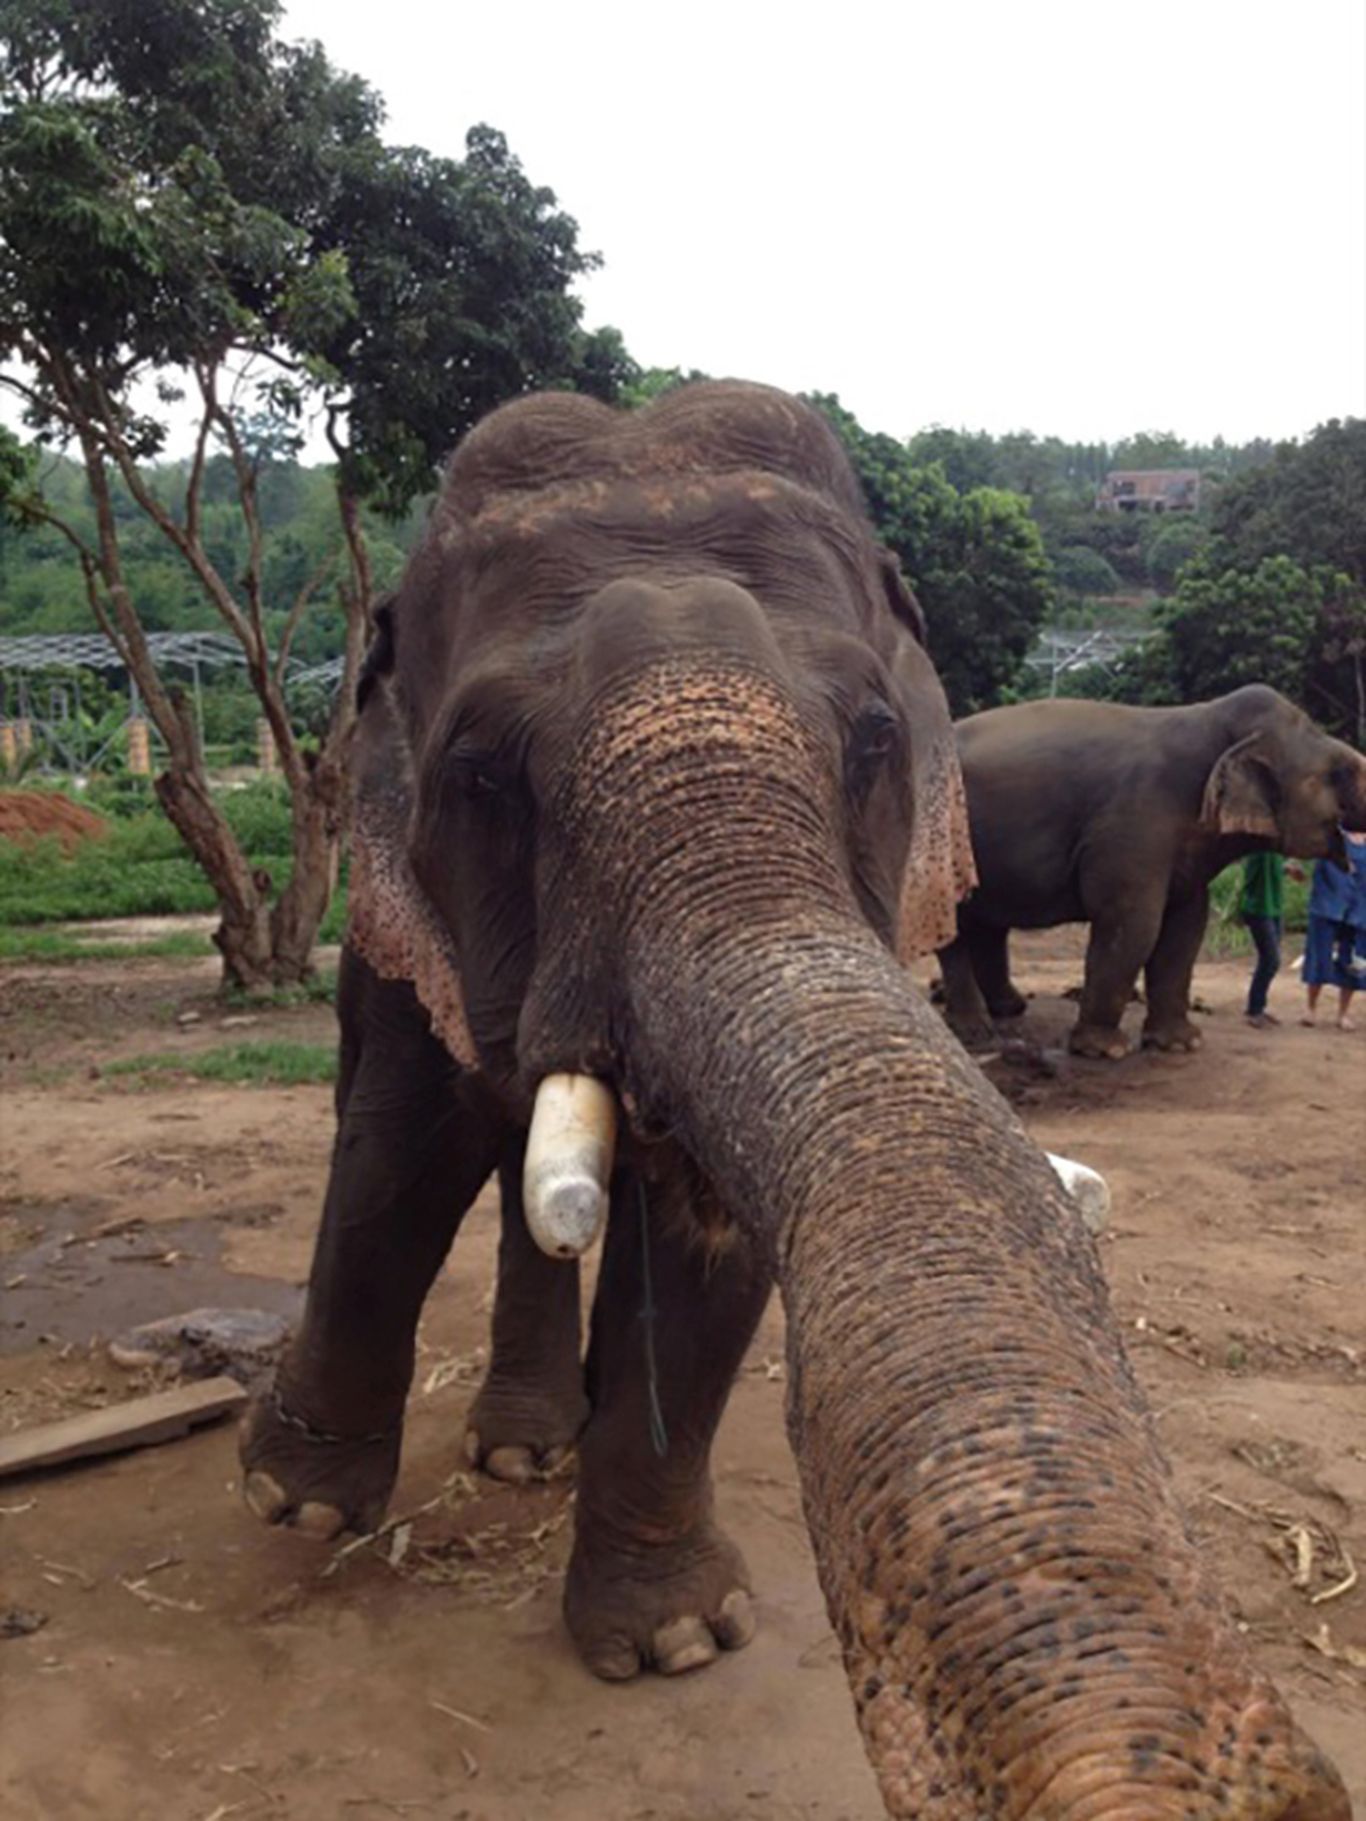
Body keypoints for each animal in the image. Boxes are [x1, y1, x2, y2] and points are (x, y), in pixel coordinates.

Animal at [939, 684, 1366, 1063]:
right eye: (1339, 772)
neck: (1208, 720)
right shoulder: (1133, 824)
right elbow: (1133, 925)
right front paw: (1104, 1050)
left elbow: (1186, 928)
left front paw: (1181, 1044)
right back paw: (975, 1031)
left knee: (987, 925)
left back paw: (1009, 1009)